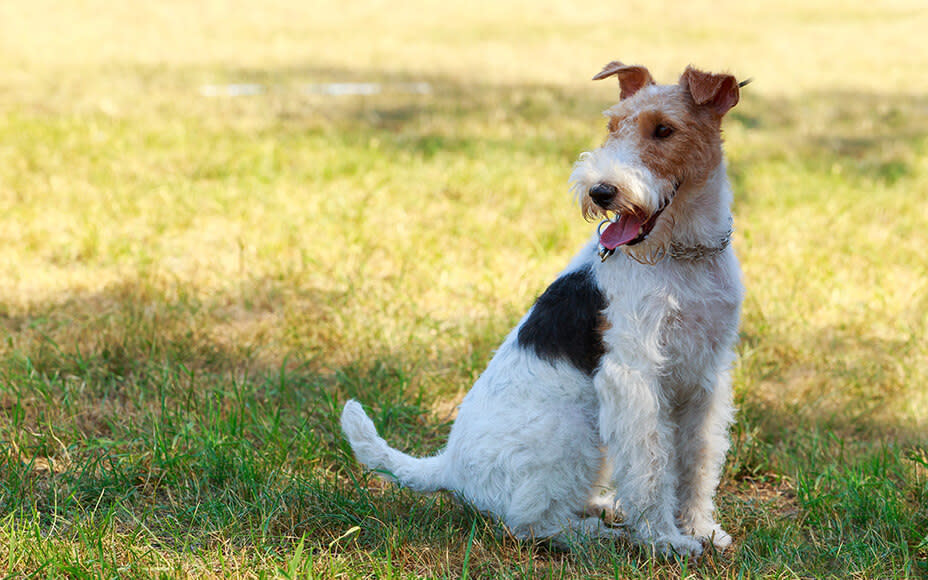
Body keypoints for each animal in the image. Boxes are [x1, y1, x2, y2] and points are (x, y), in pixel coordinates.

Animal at [340, 61, 748, 556]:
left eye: (664, 130)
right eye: (612, 126)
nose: (601, 192)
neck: (683, 254)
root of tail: (447, 465)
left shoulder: (706, 374)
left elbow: (698, 458)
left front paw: (701, 528)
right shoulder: (633, 375)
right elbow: (651, 467)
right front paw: (664, 540)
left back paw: (605, 507)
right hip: (573, 430)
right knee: (530, 523)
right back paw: (598, 534)